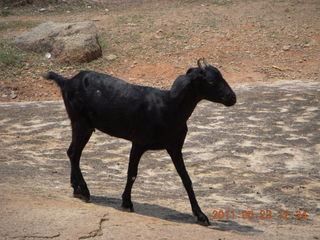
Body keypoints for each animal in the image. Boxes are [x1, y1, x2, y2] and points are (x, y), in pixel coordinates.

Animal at [44, 58, 235, 225]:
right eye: (211, 81)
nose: (233, 98)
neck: (168, 107)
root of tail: (67, 81)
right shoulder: (138, 143)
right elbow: (132, 174)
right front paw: (127, 203)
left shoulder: (174, 147)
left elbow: (186, 179)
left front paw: (201, 215)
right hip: (81, 122)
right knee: (74, 153)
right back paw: (84, 191)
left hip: (81, 124)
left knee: (73, 152)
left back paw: (76, 188)